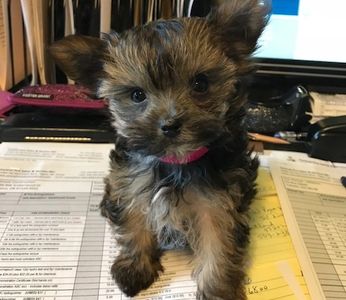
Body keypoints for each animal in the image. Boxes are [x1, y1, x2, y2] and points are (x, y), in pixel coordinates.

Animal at [50, 1, 268, 298]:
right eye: (137, 95)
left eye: (200, 84)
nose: (170, 125)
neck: (176, 162)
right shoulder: (130, 184)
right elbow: (134, 223)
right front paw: (135, 266)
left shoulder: (219, 203)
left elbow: (218, 245)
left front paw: (217, 289)